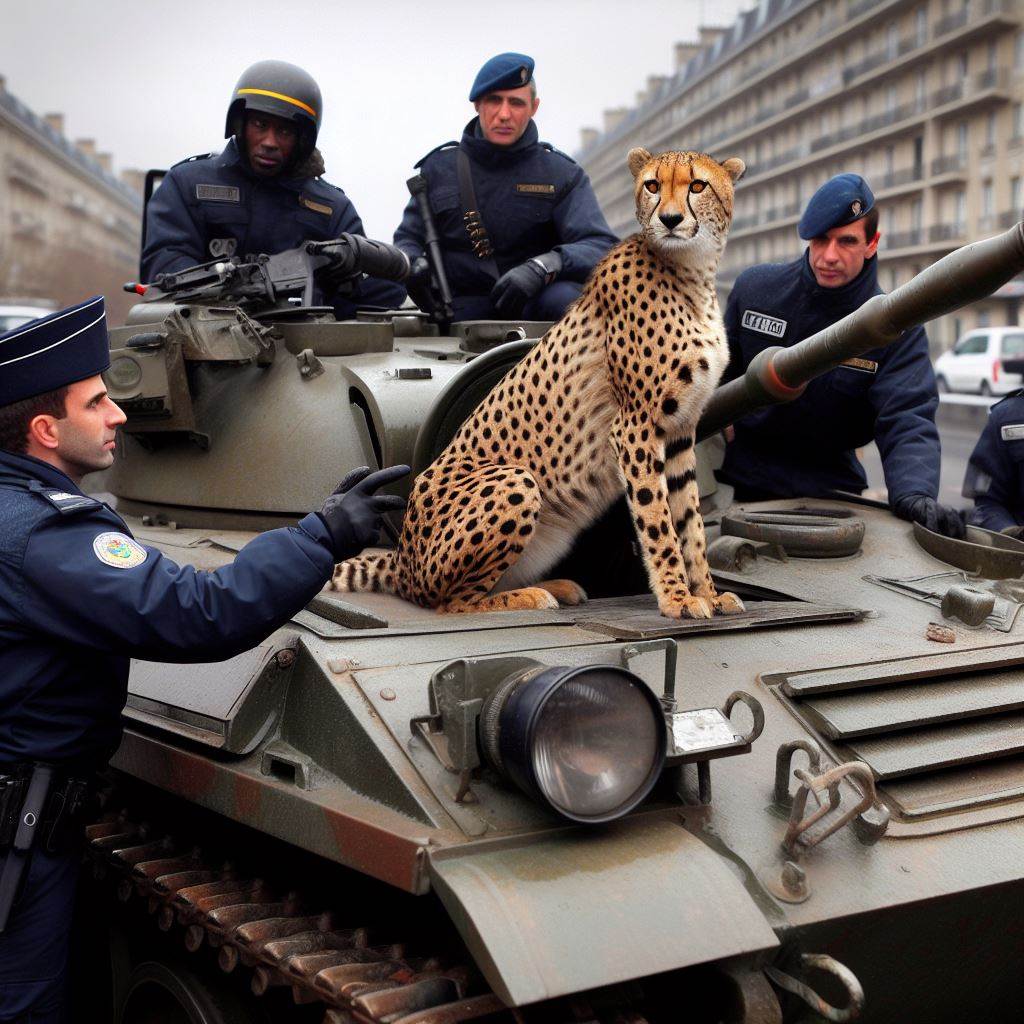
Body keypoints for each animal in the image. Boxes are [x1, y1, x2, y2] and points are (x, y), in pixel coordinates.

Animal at [335, 147, 745, 618]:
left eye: (697, 185)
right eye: (652, 185)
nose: (671, 219)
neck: (691, 271)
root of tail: (402, 557)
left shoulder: (679, 431)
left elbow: (689, 523)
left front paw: (708, 594)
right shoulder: (635, 427)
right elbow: (657, 521)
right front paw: (677, 599)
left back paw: (556, 585)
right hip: (515, 480)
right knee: (449, 604)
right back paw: (531, 596)